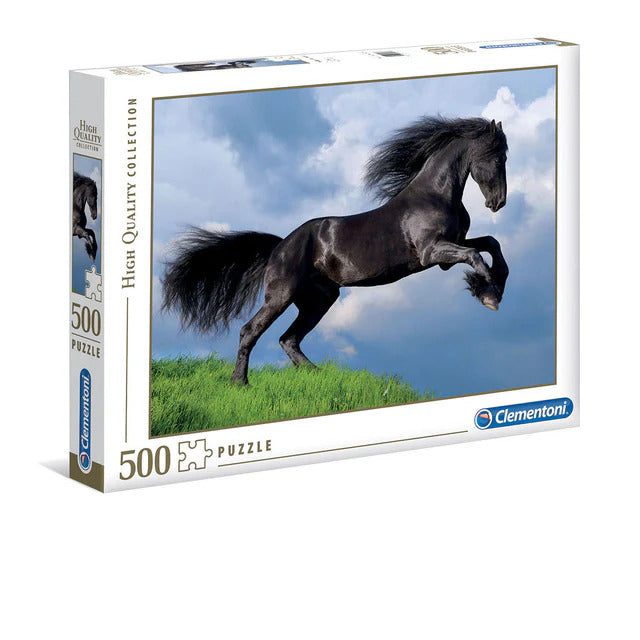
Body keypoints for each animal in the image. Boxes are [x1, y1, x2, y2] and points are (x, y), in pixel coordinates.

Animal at [163, 116, 509, 385]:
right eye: (497, 157)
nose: (498, 202)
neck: (434, 195)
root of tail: (280, 246)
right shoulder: (431, 252)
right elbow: (477, 256)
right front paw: (488, 295)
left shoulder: (449, 250)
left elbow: (491, 244)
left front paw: (492, 288)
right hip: (281, 294)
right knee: (251, 331)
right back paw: (240, 383)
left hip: (319, 299)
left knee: (289, 339)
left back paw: (317, 376)